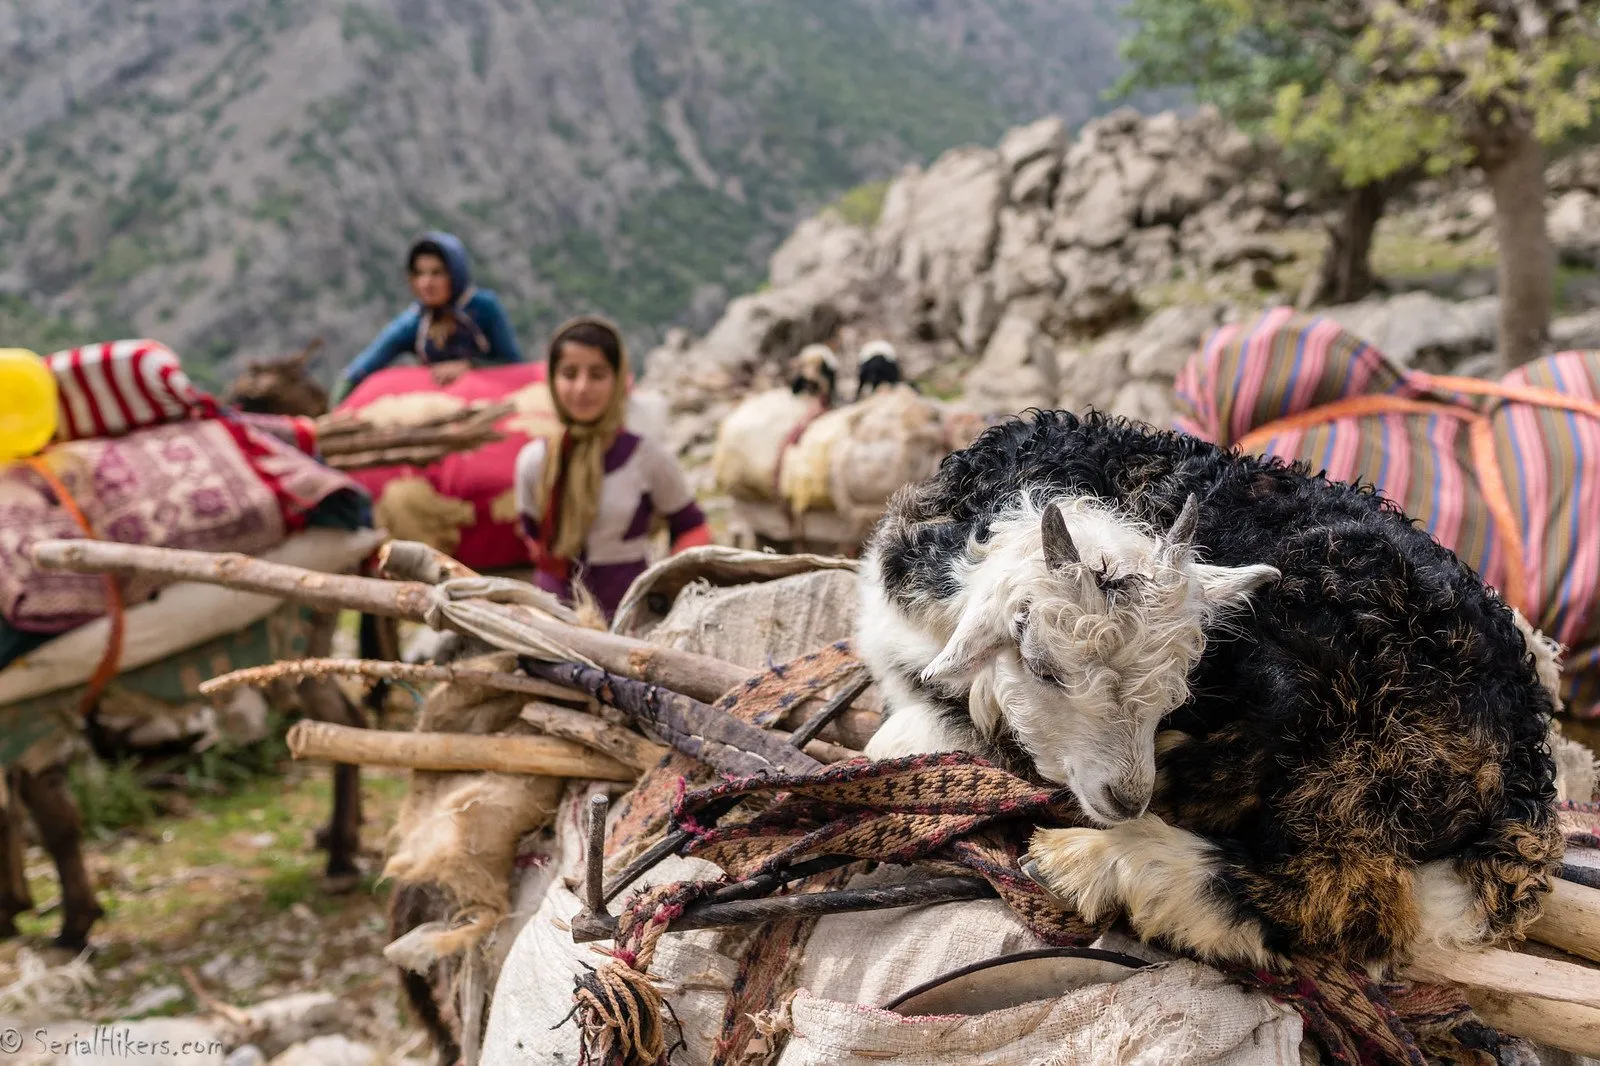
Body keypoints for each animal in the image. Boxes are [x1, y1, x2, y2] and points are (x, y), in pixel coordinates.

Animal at [864, 408, 1561, 973]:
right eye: (1043, 669)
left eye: (1176, 696)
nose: (1127, 797)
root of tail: (1520, 766)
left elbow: (895, 740)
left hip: (1369, 745)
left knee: (1349, 894)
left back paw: (1092, 862)